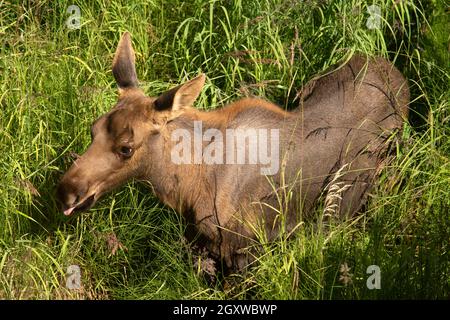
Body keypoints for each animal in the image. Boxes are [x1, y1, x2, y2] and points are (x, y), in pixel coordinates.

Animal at [58, 31, 410, 270]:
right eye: (93, 129)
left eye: (126, 148)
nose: (66, 191)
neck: (186, 184)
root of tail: (395, 71)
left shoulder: (245, 248)